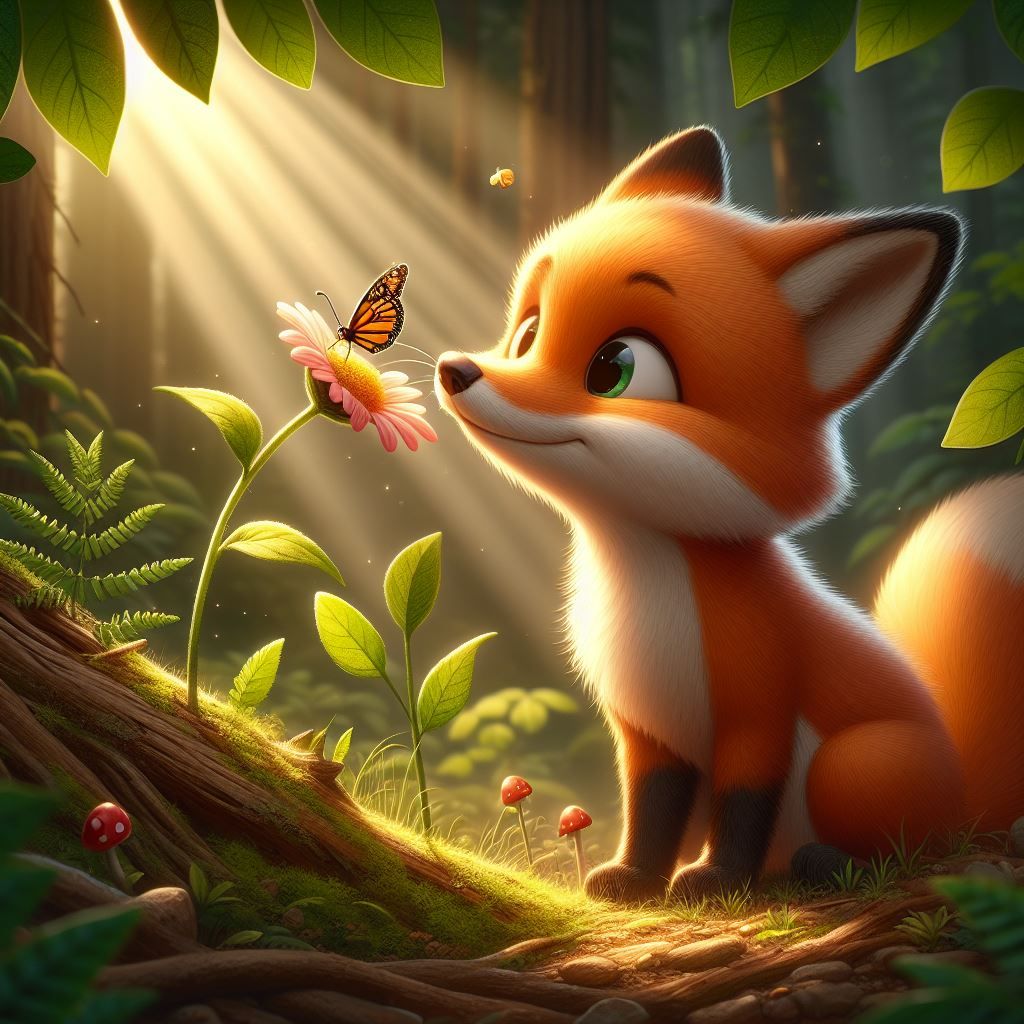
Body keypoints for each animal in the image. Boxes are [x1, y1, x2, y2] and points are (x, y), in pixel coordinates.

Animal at [434, 127, 1024, 902]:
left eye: (615, 368)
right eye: (527, 333)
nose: (455, 371)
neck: (644, 580)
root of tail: (966, 789)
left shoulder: (758, 711)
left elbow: (744, 805)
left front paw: (716, 881)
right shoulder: (648, 731)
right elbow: (651, 810)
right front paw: (633, 877)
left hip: (855, 763)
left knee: (914, 848)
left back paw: (829, 865)